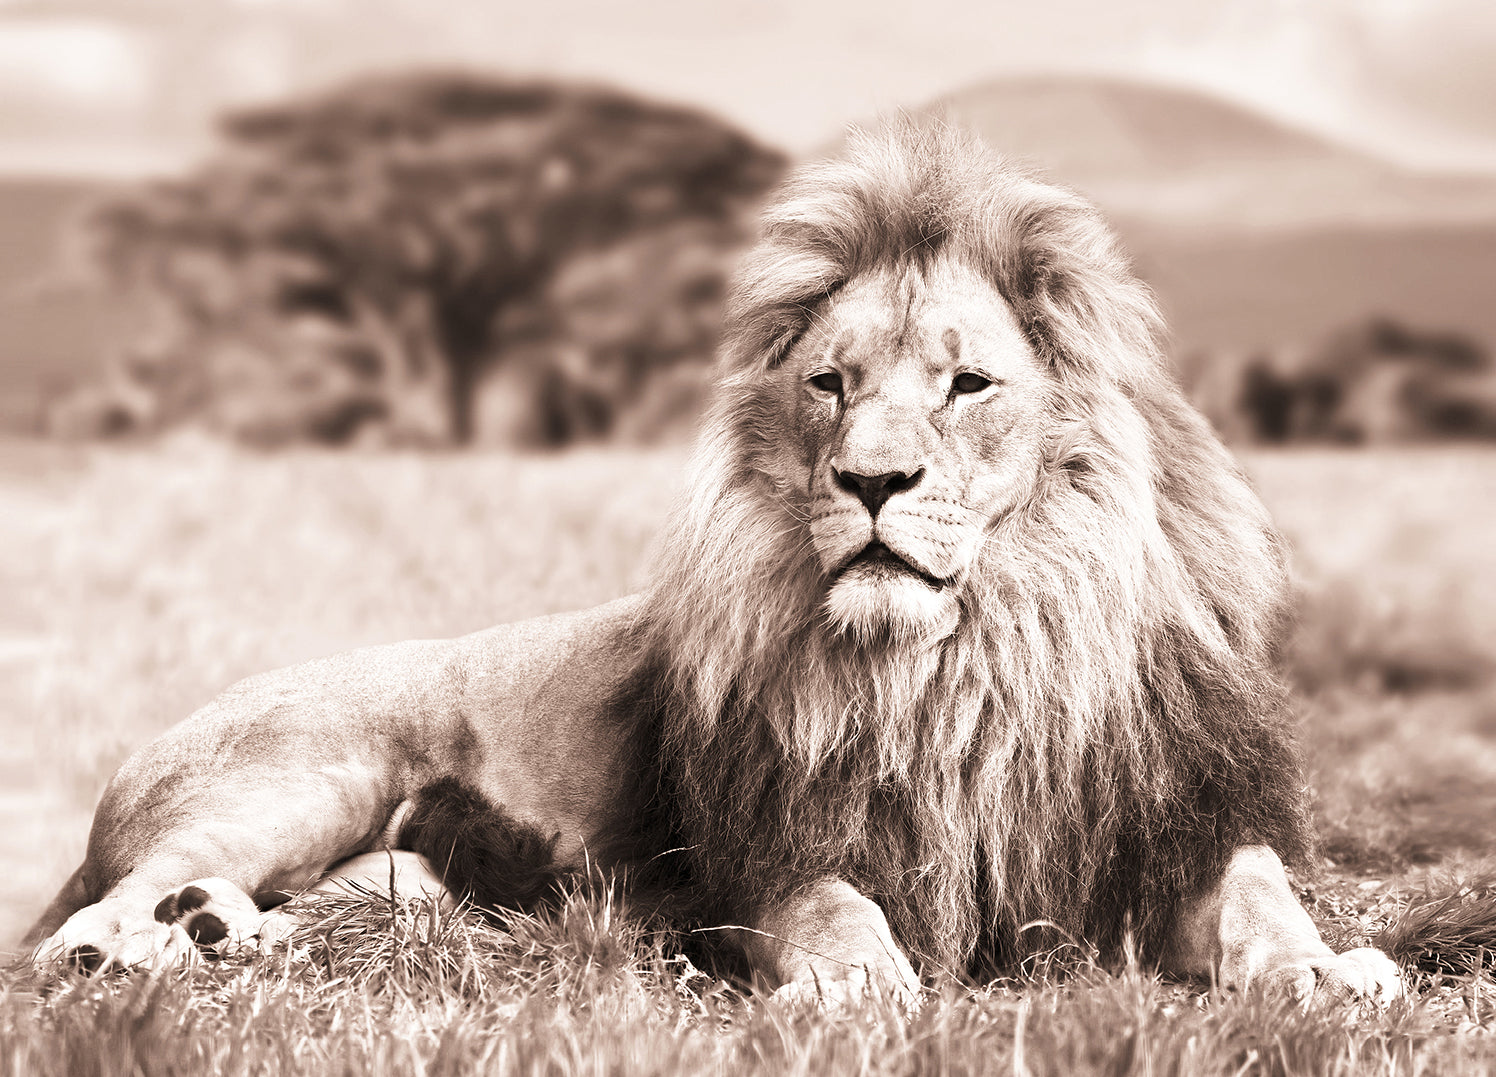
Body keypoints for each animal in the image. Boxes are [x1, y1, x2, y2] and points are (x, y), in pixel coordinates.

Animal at [28, 122, 1400, 1006]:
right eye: (830, 385)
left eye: (966, 384)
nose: (869, 483)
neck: (968, 661)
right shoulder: (772, 849)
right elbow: (834, 913)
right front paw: (854, 988)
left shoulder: (1175, 821)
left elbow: (1260, 903)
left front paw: (1325, 974)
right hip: (297, 780)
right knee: (82, 925)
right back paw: (141, 950)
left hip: (402, 876)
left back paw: (220, 935)